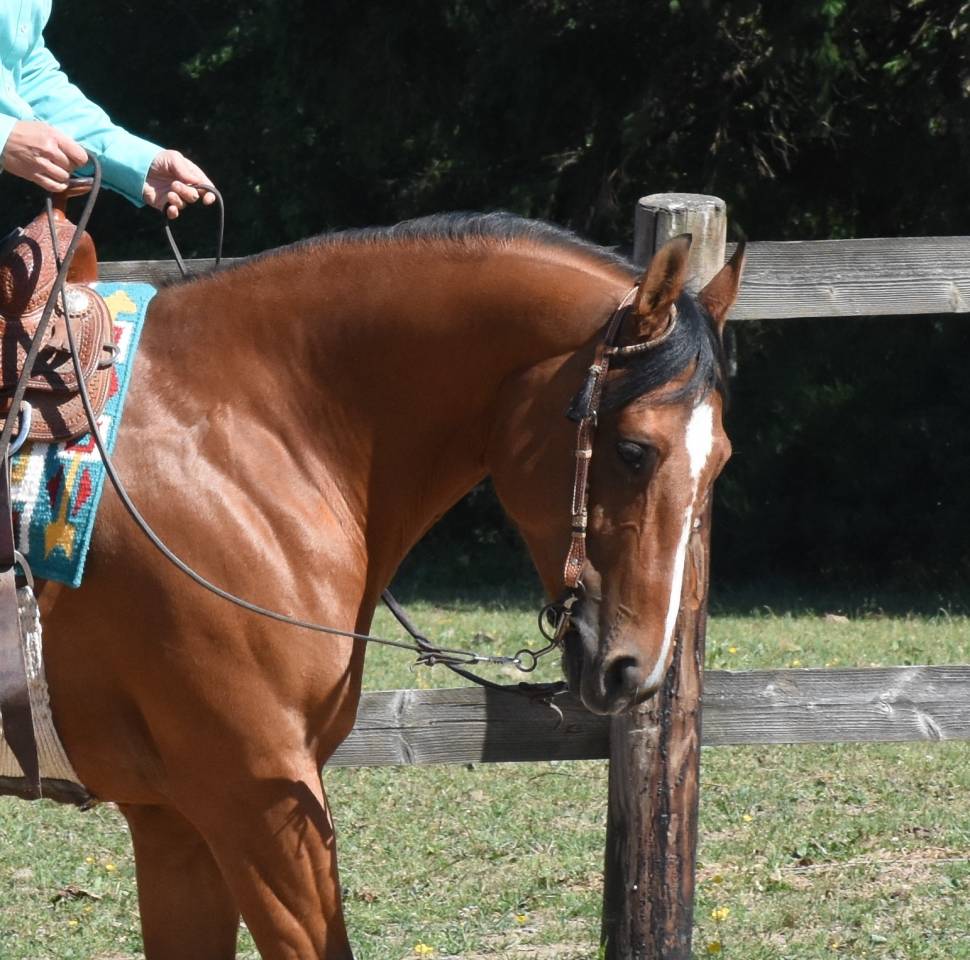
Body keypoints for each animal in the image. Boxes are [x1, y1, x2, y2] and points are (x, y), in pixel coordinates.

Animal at [23, 212, 743, 959]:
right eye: (634, 451)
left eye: (719, 459)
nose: (637, 670)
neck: (238, 445)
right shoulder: (253, 797)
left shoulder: (172, 819)